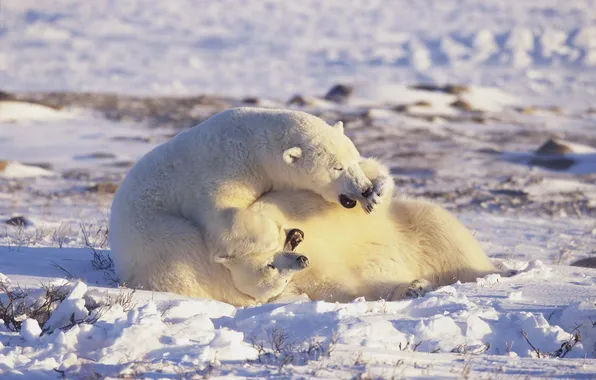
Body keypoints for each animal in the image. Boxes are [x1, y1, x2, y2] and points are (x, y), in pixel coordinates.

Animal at [109, 107, 394, 306]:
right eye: (337, 167)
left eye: (353, 159)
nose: (363, 188)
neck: (252, 143)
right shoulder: (222, 172)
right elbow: (224, 220)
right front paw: (272, 239)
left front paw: (377, 192)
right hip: (155, 235)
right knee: (188, 254)